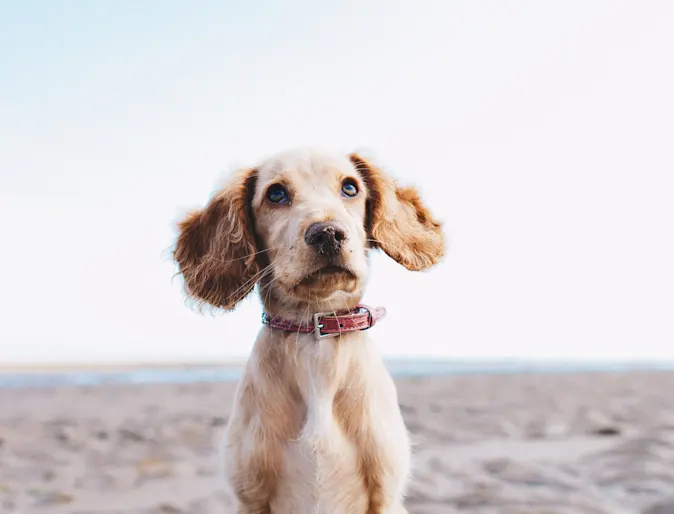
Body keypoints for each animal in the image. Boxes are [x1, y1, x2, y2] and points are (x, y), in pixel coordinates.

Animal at [173, 148, 444, 512]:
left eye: (350, 187)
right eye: (275, 194)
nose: (328, 233)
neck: (316, 338)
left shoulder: (385, 495)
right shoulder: (250, 496)